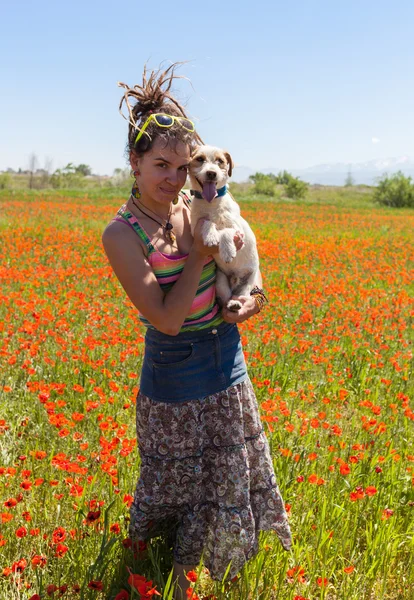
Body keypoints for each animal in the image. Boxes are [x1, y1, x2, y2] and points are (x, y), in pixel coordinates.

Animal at [188, 145, 258, 312]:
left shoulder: (238, 231)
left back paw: (236, 303)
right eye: (200, 159)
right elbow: (207, 222)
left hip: (249, 282)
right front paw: (211, 235)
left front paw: (227, 251)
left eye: (220, 161)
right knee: (225, 301)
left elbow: (226, 231)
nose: (211, 173)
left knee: (241, 294)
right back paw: (230, 304)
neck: (211, 203)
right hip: (220, 281)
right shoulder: (195, 227)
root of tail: (235, 279)